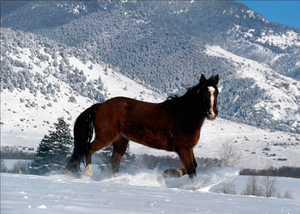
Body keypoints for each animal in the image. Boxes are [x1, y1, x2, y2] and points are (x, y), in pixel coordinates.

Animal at [65, 73, 218, 179]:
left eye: (216, 92)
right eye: (204, 93)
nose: (212, 113)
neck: (183, 114)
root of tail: (100, 105)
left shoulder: (187, 148)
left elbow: (193, 167)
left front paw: (168, 173)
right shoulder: (183, 148)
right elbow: (192, 170)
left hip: (120, 140)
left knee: (114, 160)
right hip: (107, 136)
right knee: (89, 149)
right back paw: (87, 173)